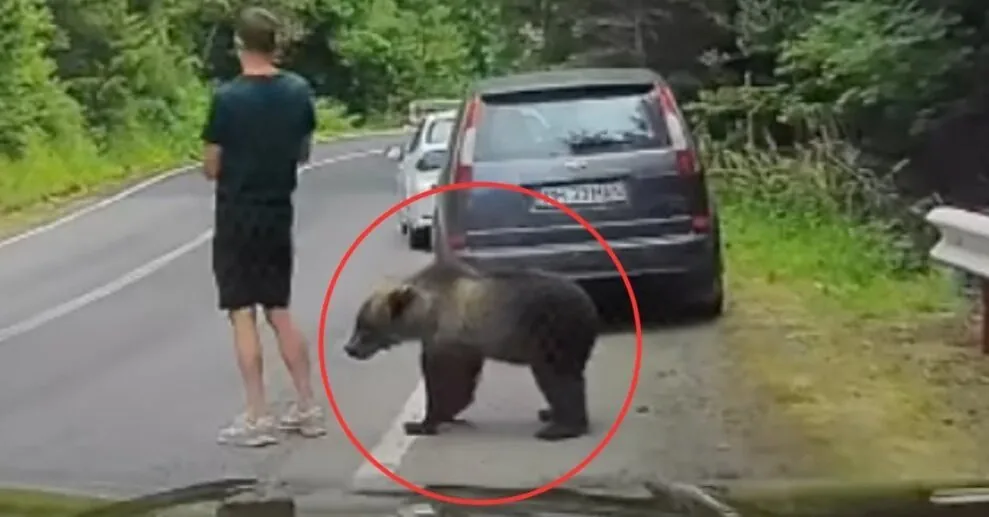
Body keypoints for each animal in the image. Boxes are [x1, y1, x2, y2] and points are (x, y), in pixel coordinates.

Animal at [342, 256, 600, 441]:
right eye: (357, 324)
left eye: (365, 327)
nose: (349, 348)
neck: (426, 315)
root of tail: (589, 305)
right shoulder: (465, 345)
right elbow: (462, 380)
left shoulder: (448, 339)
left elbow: (446, 380)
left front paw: (421, 423)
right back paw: (549, 413)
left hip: (553, 331)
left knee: (557, 376)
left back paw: (561, 427)